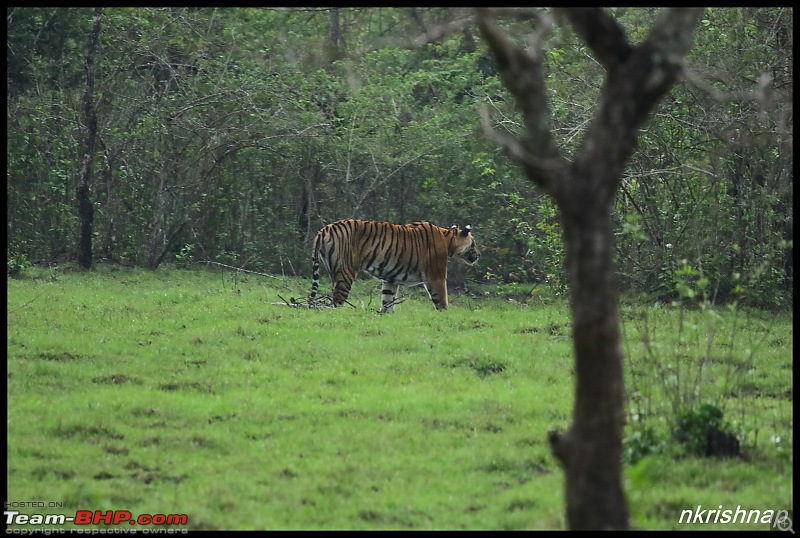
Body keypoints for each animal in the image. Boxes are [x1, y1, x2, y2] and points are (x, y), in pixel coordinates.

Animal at [310, 217, 478, 310]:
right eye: (473, 243)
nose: (479, 254)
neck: (448, 238)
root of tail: (325, 228)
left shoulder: (390, 280)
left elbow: (387, 301)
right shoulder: (436, 276)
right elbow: (442, 300)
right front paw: (444, 316)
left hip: (333, 271)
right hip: (345, 272)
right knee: (336, 302)